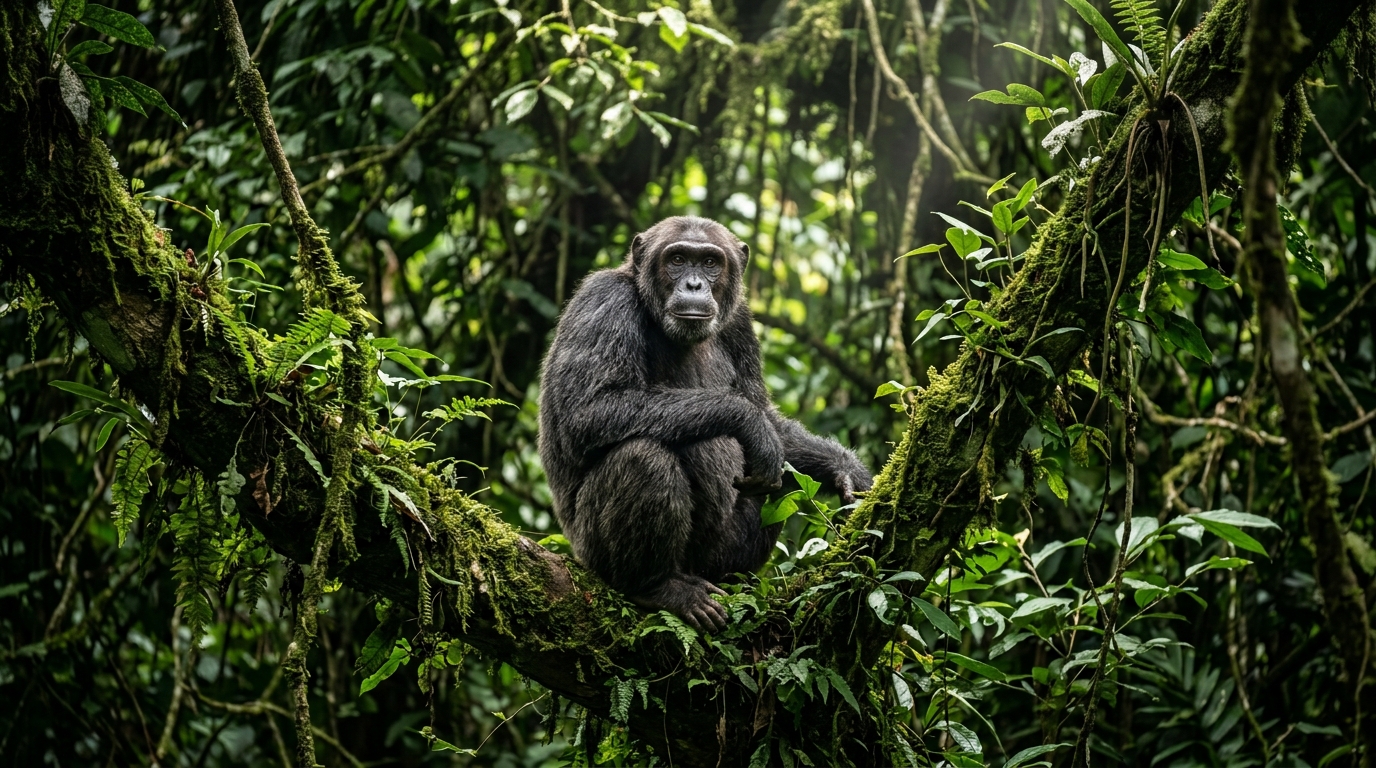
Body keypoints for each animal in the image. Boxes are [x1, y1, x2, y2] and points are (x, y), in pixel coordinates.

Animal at [537, 216, 873, 631]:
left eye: (711, 262)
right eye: (678, 259)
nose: (695, 284)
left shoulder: (741, 324)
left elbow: (766, 412)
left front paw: (847, 471)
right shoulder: (603, 302)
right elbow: (589, 409)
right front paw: (749, 423)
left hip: (718, 562)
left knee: (779, 488)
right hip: (592, 553)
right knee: (642, 457)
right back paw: (658, 587)